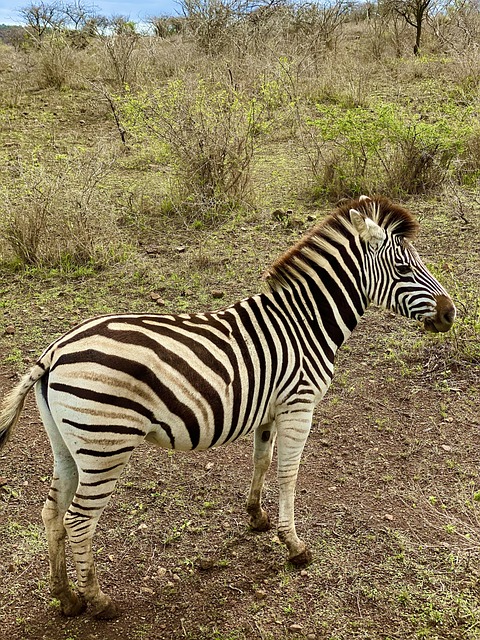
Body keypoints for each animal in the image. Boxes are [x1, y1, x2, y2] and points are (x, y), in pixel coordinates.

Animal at [0, 196, 456, 620]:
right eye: (403, 269)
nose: (451, 313)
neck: (305, 323)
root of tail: (55, 350)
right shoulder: (299, 406)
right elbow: (289, 474)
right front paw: (294, 546)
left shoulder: (270, 410)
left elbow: (261, 461)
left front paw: (257, 517)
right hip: (105, 445)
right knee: (78, 521)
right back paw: (99, 601)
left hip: (68, 444)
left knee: (52, 513)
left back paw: (66, 597)